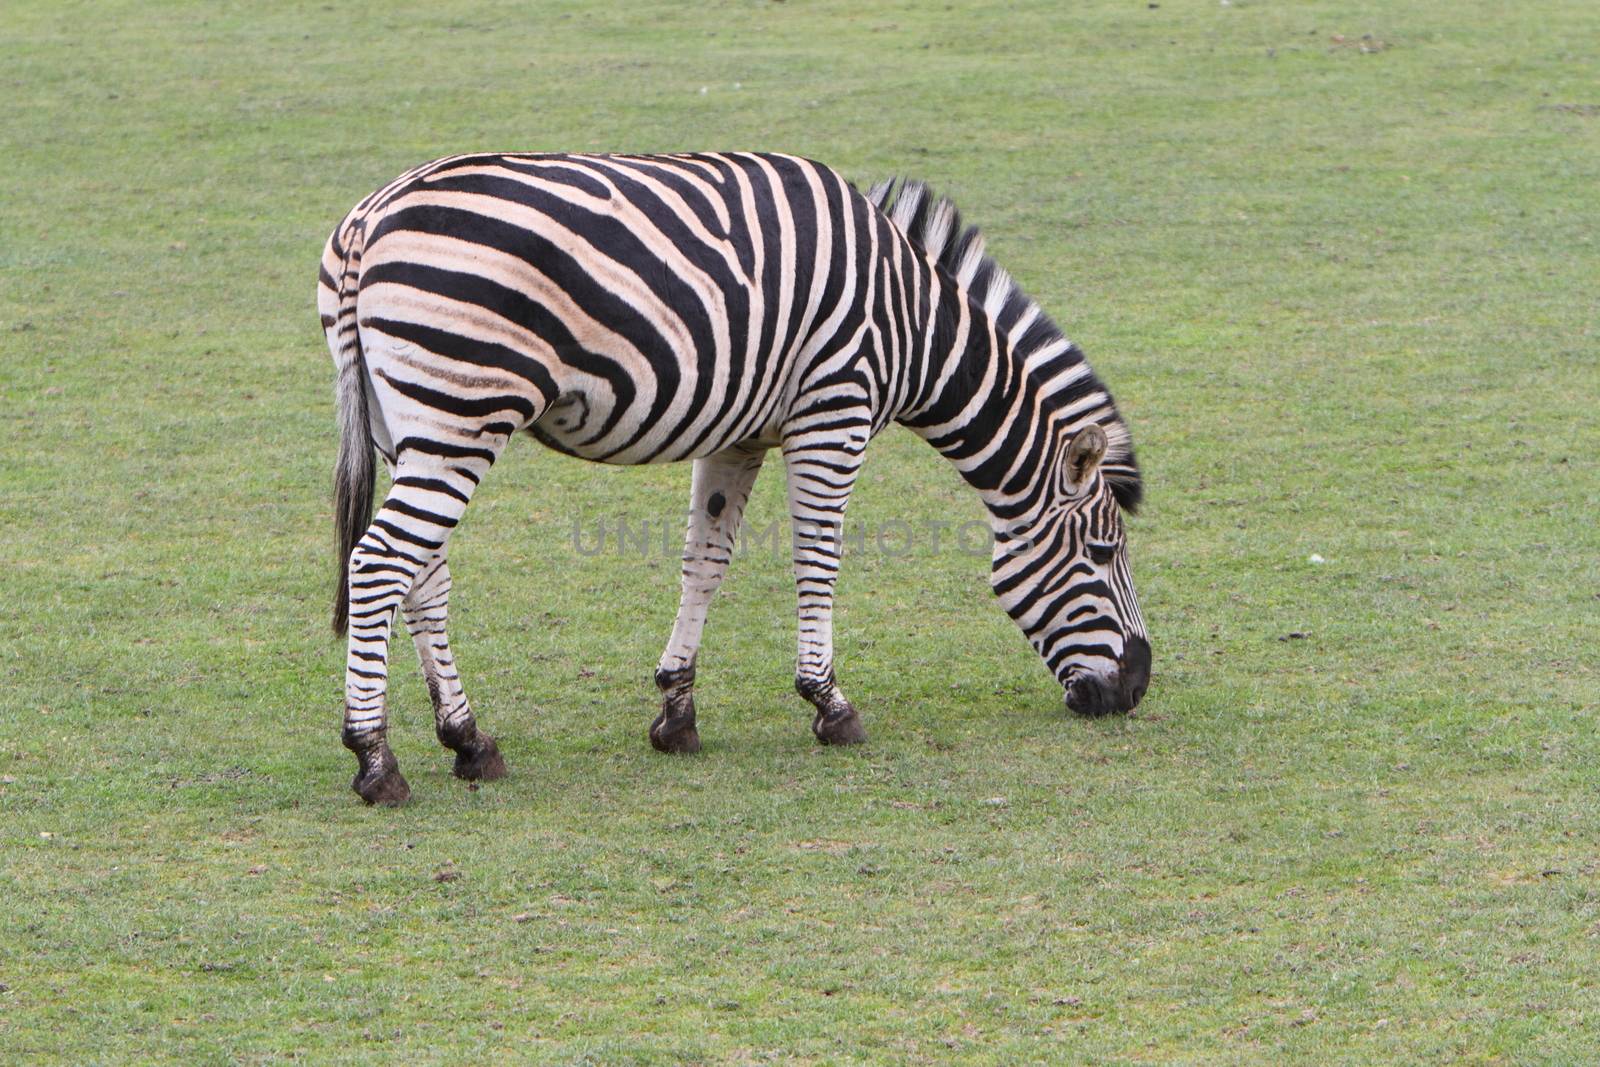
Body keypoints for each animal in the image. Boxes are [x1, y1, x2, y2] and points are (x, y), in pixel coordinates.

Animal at [318, 147, 1145, 799]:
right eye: (1104, 554)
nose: (1135, 687)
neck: (913, 325)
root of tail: (369, 219)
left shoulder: (740, 433)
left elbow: (704, 562)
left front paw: (676, 711)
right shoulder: (833, 411)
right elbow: (818, 560)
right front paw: (830, 704)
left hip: (409, 425)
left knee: (424, 575)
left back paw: (469, 740)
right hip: (462, 412)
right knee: (381, 563)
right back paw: (376, 760)